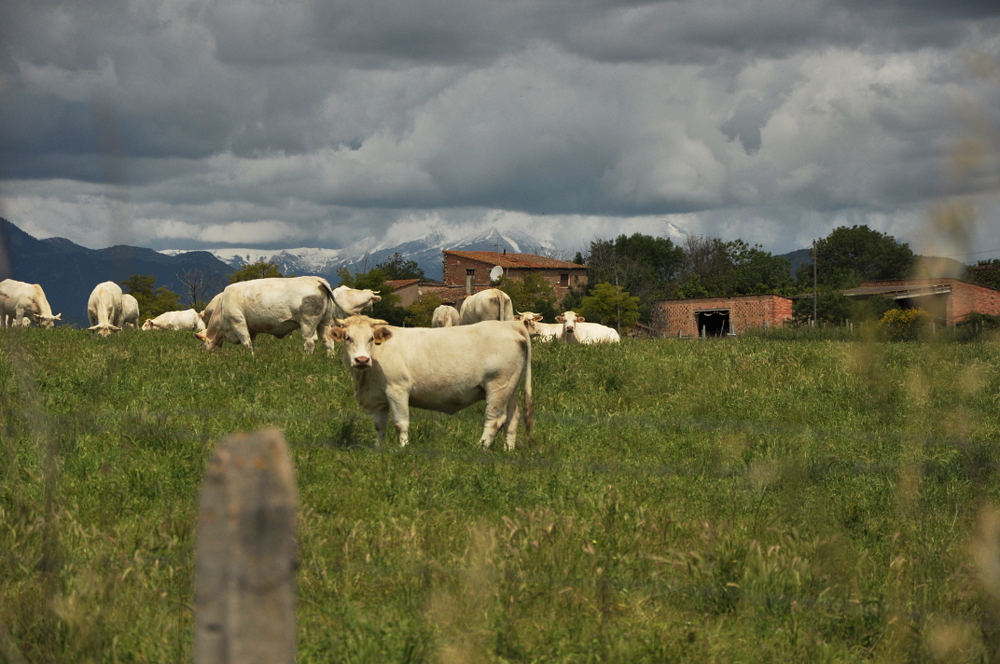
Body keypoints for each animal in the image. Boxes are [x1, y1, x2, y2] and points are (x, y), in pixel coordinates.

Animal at [195, 274, 344, 352]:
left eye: (202, 345)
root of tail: (317, 279)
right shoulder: (252, 329)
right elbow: (252, 342)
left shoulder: (238, 322)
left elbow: (246, 342)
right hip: (325, 321)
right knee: (328, 340)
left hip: (308, 322)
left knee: (310, 341)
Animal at [326, 316, 532, 452]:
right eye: (348, 338)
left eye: (371, 338)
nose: (361, 359)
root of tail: (510, 325)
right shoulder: (378, 396)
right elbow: (380, 425)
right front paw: (378, 447)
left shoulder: (397, 389)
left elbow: (401, 422)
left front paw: (404, 447)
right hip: (511, 387)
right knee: (512, 418)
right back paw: (508, 450)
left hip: (498, 385)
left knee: (494, 419)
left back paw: (480, 447)